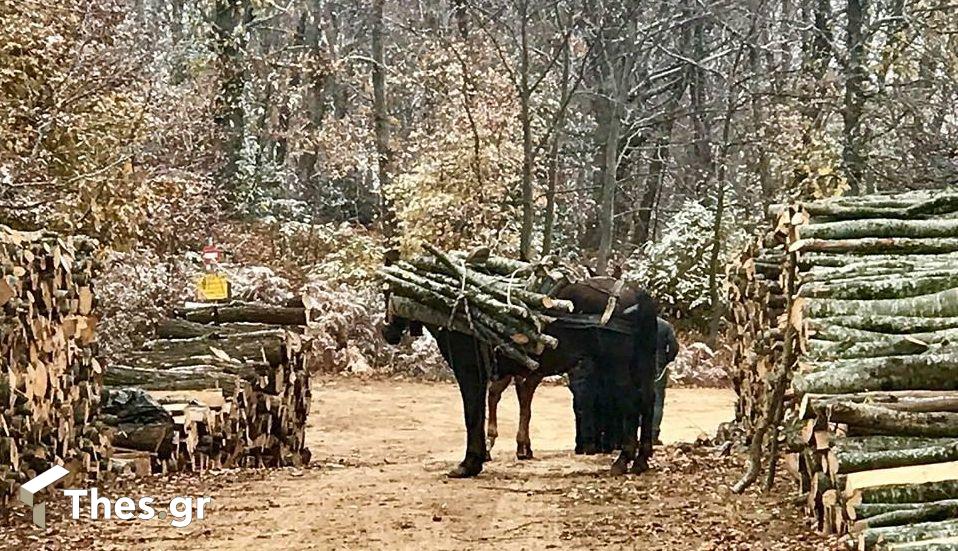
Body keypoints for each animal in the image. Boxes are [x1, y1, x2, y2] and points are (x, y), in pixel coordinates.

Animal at [382, 278, 660, 480]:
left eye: (387, 293)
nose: (387, 332)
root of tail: (638, 296)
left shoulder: (470, 371)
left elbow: (473, 415)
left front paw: (470, 463)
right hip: (641, 365)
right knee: (648, 400)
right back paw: (641, 459)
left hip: (617, 367)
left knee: (631, 404)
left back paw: (623, 459)